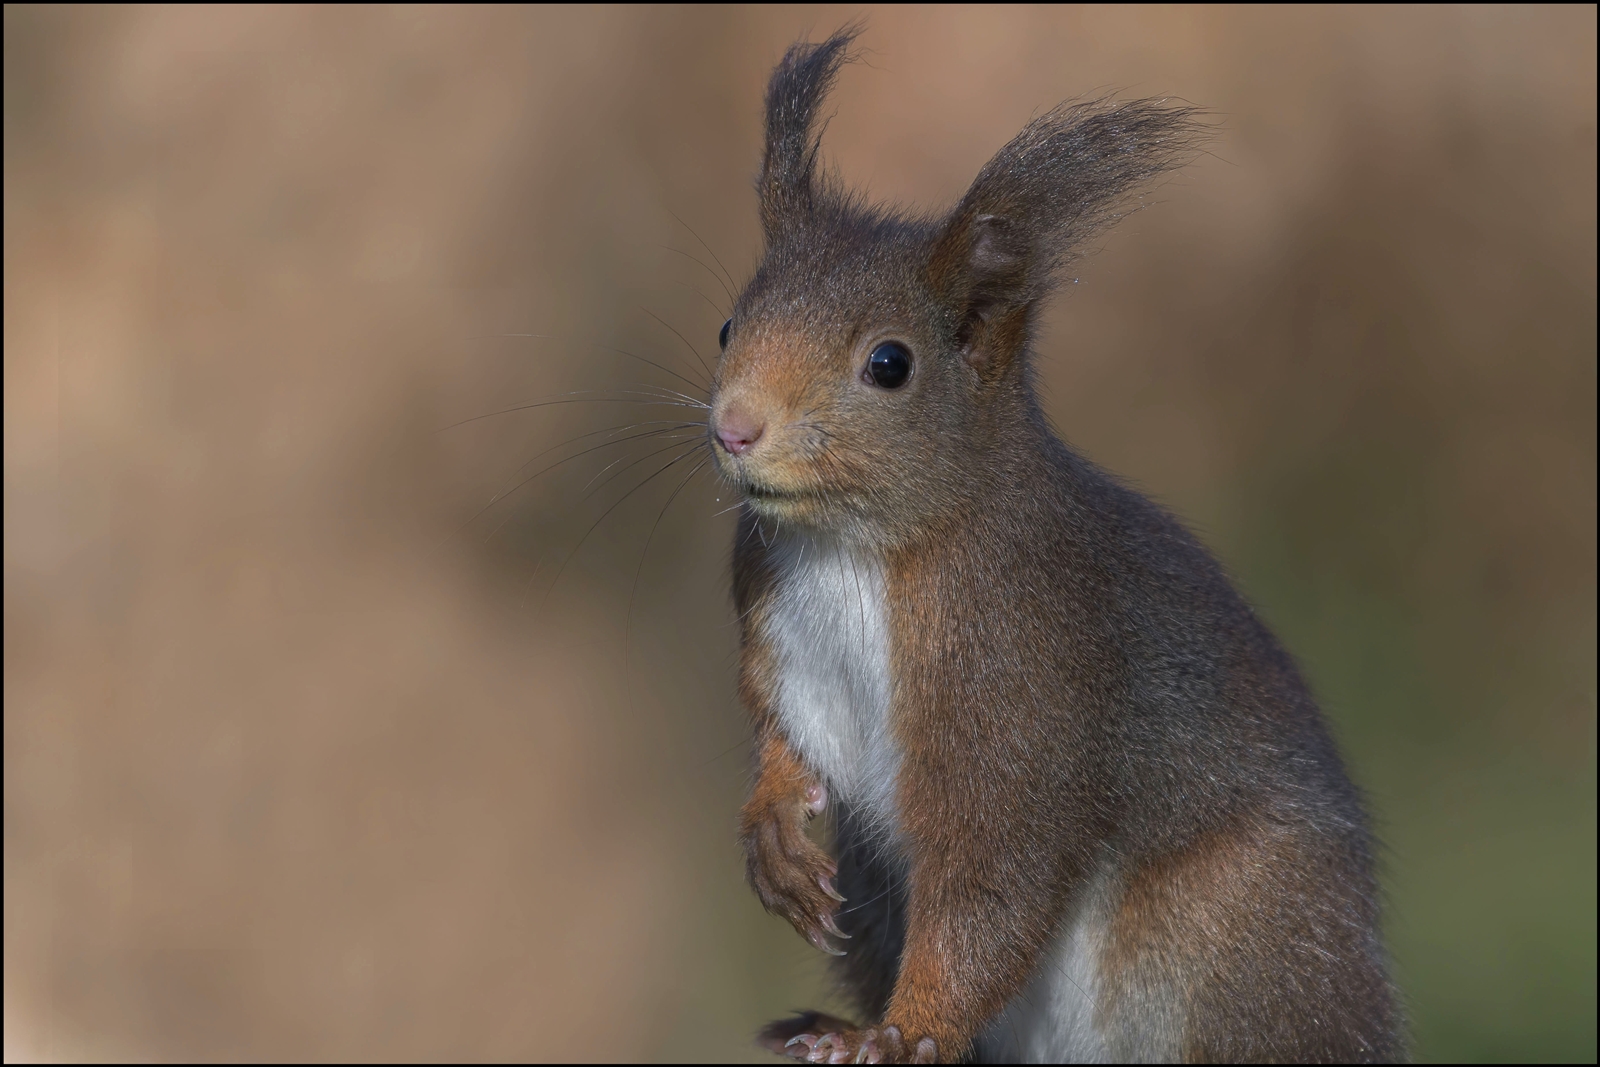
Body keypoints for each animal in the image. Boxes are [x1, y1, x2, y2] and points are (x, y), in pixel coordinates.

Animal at [713, 27, 1401, 1067]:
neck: (850, 547)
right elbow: (778, 730)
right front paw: (773, 828)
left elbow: (992, 884)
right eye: (726, 325)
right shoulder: (774, 628)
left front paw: (905, 1033)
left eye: (889, 364)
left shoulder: (1019, 688)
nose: (732, 427)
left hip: (1238, 933)